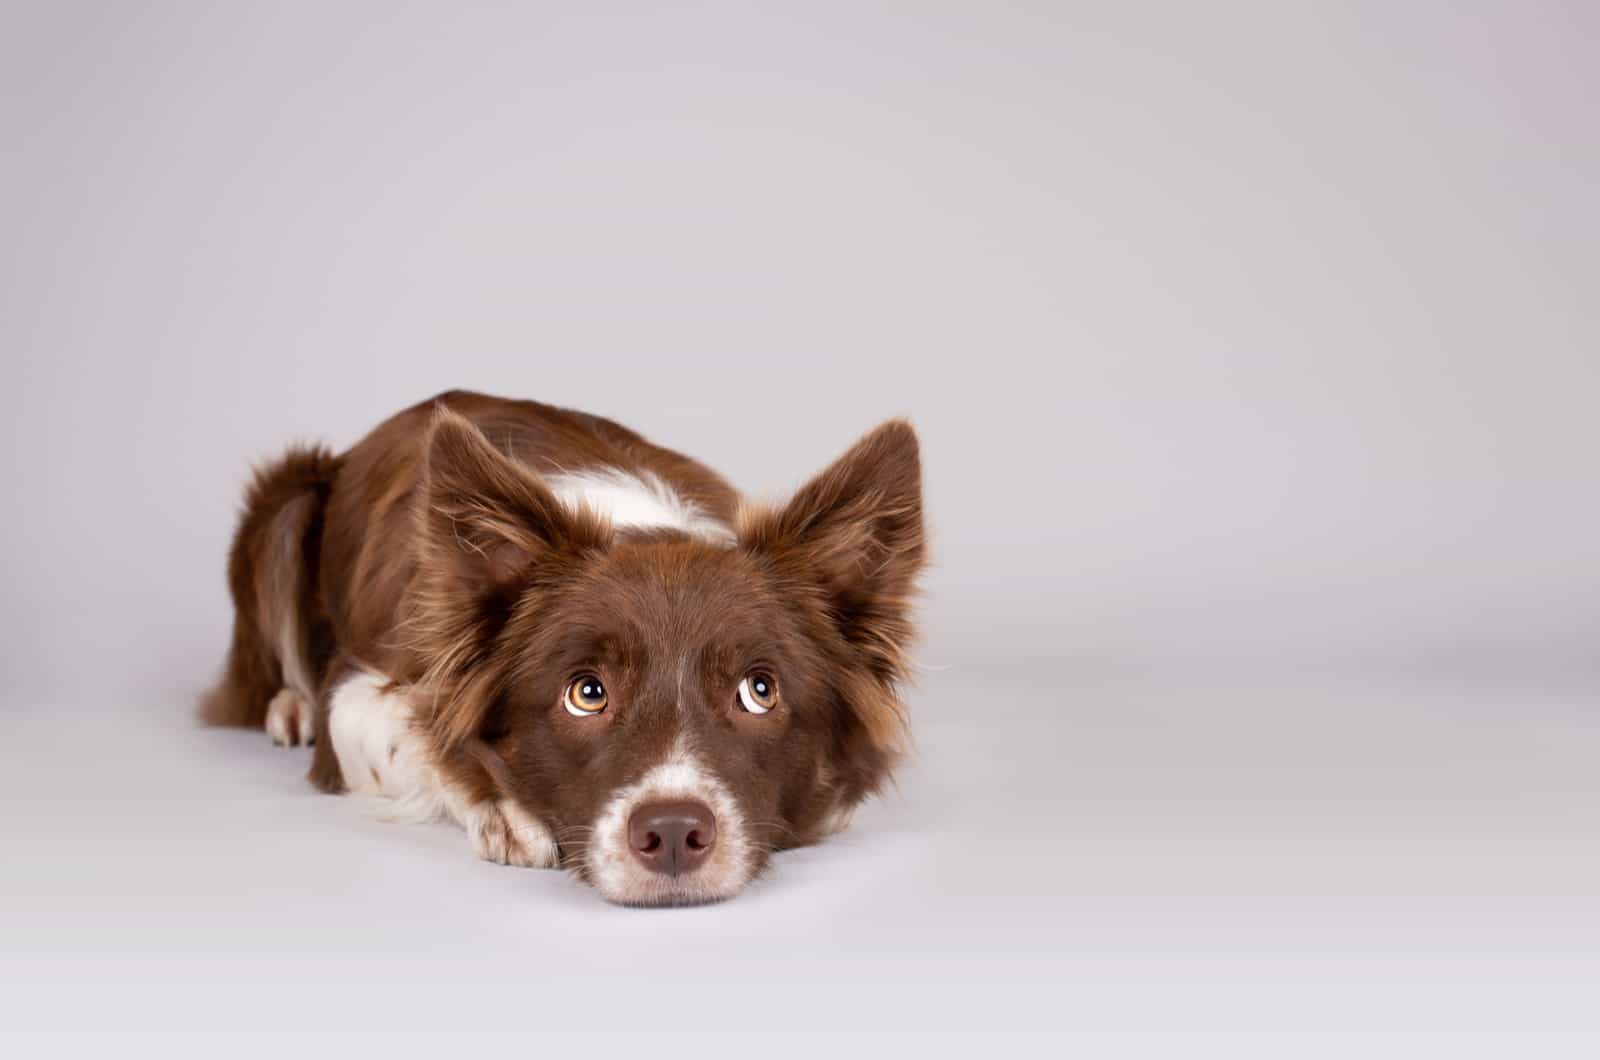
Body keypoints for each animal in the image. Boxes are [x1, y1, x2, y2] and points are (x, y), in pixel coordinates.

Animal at [200, 390, 928, 903]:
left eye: (759, 691)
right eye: (588, 693)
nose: (671, 834)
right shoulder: (357, 691)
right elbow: (418, 735)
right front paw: (503, 809)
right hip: (287, 500)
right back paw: (288, 707)